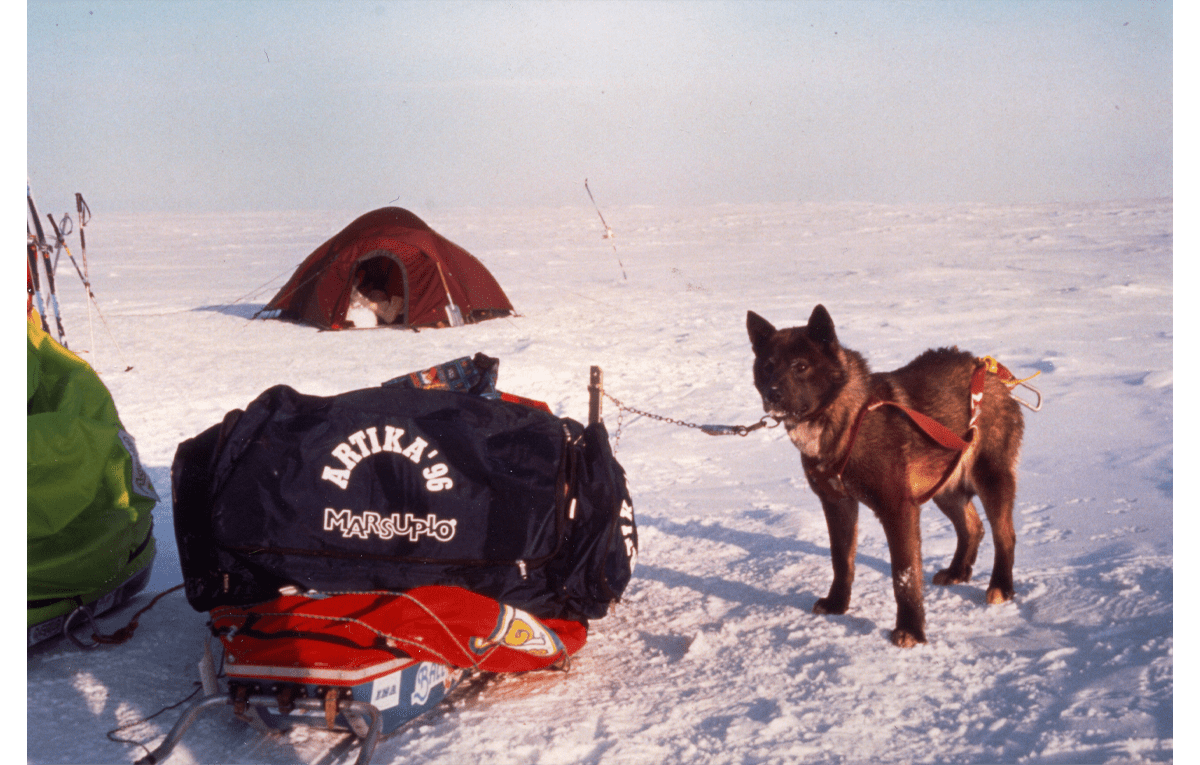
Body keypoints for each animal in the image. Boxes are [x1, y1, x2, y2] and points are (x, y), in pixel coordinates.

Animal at [748, 305, 1022, 647]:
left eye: (801, 366)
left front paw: (911, 630)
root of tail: (991, 372)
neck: (848, 418)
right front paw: (837, 604)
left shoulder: (897, 509)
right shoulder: (837, 504)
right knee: (972, 528)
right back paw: (957, 572)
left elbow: (904, 576)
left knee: (1004, 535)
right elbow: (841, 560)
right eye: (768, 367)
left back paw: (1001, 587)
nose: (773, 395)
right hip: (944, 487)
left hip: (990, 479)